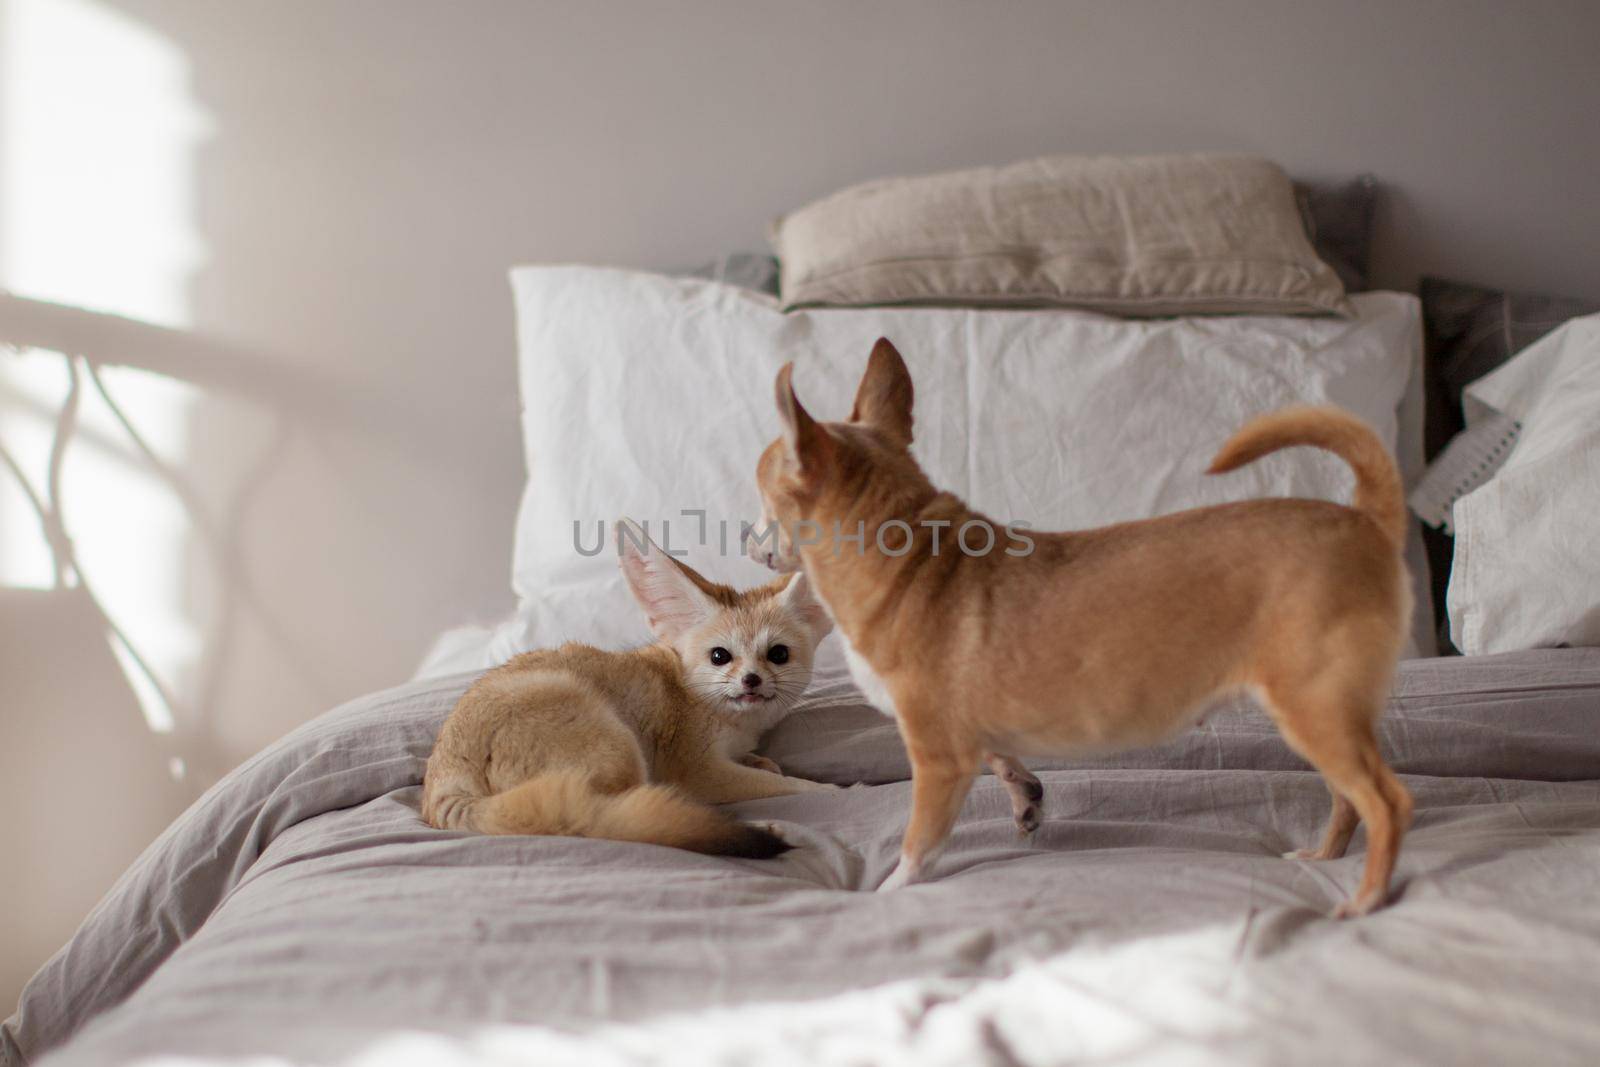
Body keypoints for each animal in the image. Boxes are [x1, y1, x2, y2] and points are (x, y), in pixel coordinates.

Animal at [422, 518, 838, 857]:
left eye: (778, 654)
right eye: (720, 656)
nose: (751, 680)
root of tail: (446, 779)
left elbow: (766, 766)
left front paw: (762, 760)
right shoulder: (695, 769)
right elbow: (786, 785)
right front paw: (832, 791)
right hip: (620, 750)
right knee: (613, 821)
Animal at [748, 337, 1414, 915]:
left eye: (761, 499)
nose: (750, 542)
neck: (911, 557)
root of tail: (1365, 519)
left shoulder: (938, 760)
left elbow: (920, 843)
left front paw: (888, 893)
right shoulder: (973, 737)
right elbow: (1005, 758)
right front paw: (1025, 796)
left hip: (1314, 708)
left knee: (1386, 801)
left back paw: (1365, 898)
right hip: (1320, 717)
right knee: (1348, 798)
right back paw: (1327, 859)